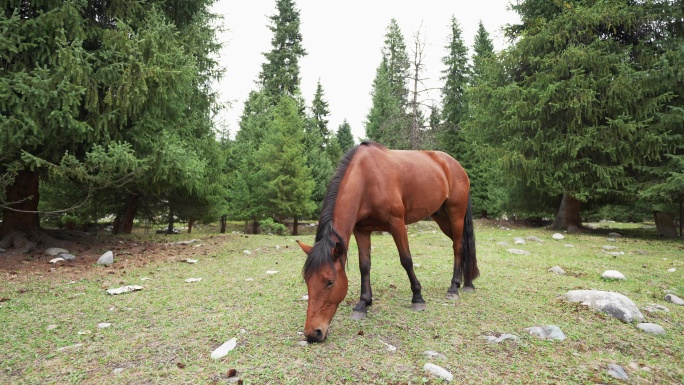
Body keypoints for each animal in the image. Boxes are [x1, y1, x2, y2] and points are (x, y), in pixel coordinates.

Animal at [296, 140, 478, 342]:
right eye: (307, 280)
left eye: (329, 282)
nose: (313, 333)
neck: (367, 180)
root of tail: (455, 165)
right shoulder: (361, 230)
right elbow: (364, 266)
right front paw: (363, 304)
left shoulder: (397, 224)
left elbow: (406, 260)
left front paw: (417, 297)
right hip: (442, 217)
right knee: (462, 245)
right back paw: (467, 283)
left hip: (456, 214)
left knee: (458, 246)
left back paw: (453, 288)